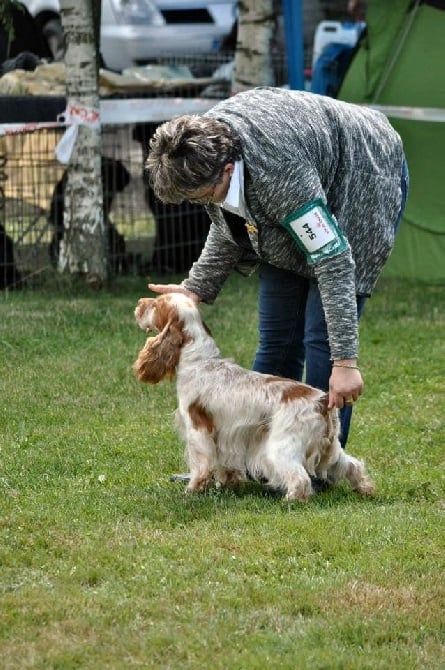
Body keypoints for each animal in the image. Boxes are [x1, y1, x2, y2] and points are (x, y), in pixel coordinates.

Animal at [133, 294, 374, 504]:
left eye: (155, 305)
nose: (139, 303)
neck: (199, 361)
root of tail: (322, 401)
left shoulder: (197, 430)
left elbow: (200, 465)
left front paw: (193, 490)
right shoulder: (226, 437)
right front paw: (226, 484)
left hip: (280, 448)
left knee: (301, 479)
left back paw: (290, 500)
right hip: (331, 449)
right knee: (352, 465)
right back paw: (365, 489)